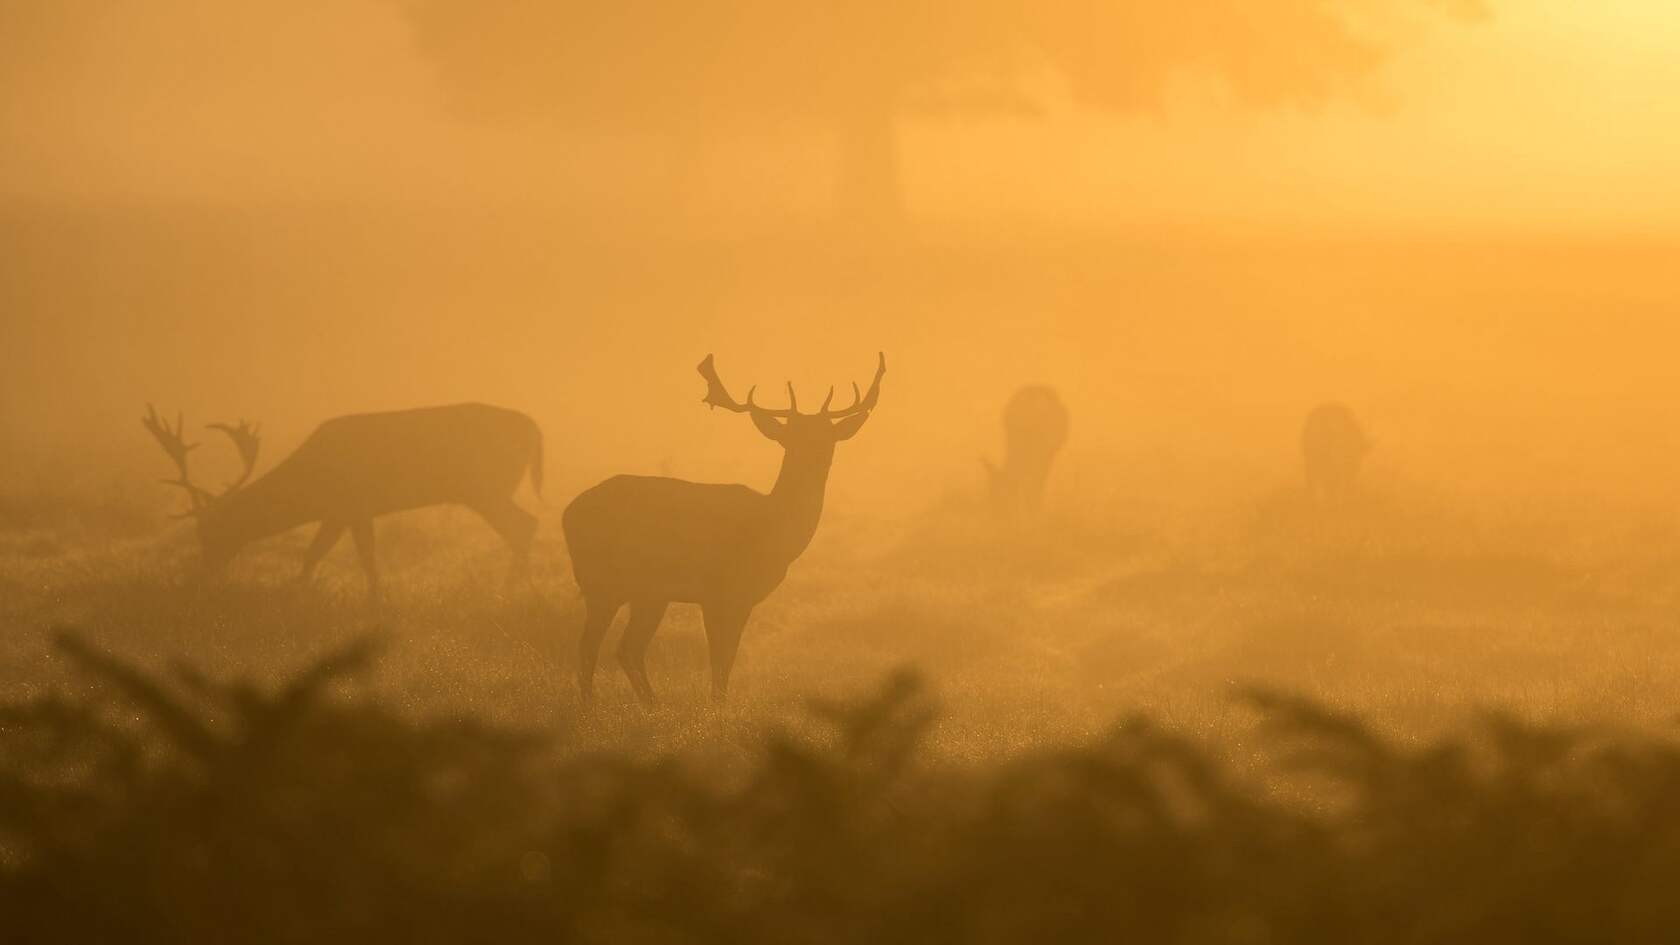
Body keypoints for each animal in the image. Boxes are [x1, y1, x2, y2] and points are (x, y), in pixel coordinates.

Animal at [144, 398, 540, 595]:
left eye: (211, 532)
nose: (201, 575)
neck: (312, 485)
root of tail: (535, 429)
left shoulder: (354, 505)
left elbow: (359, 555)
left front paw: (372, 599)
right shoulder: (339, 512)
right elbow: (318, 553)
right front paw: (301, 588)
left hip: (485, 487)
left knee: (524, 525)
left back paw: (510, 591)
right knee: (526, 525)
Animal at [561, 351, 887, 699]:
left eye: (829, 435)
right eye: (790, 437)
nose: (816, 457)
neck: (774, 531)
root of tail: (567, 514)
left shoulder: (741, 597)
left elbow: (726, 660)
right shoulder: (719, 591)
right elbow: (720, 660)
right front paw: (717, 705)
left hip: (648, 592)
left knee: (627, 648)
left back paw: (651, 703)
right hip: (603, 581)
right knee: (590, 647)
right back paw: (592, 703)